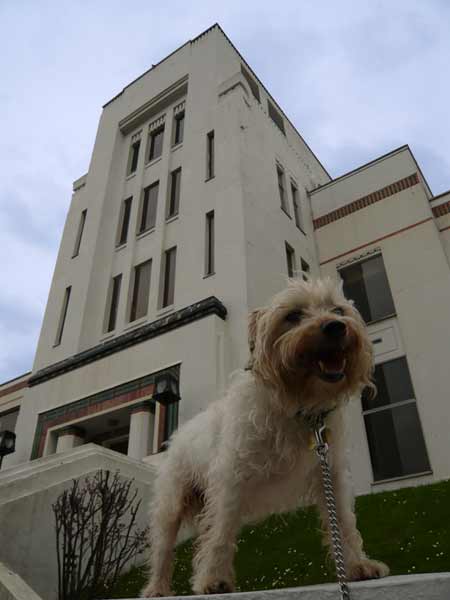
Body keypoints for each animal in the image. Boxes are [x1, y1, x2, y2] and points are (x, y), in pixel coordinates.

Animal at [142, 280, 388, 596]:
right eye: (293, 315)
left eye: (337, 310)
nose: (335, 327)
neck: (297, 406)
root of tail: (178, 435)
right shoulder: (230, 479)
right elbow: (221, 530)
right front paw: (212, 579)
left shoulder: (331, 473)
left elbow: (343, 520)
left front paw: (358, 565)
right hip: (171, 504)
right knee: (164, 549)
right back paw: (157, 588)